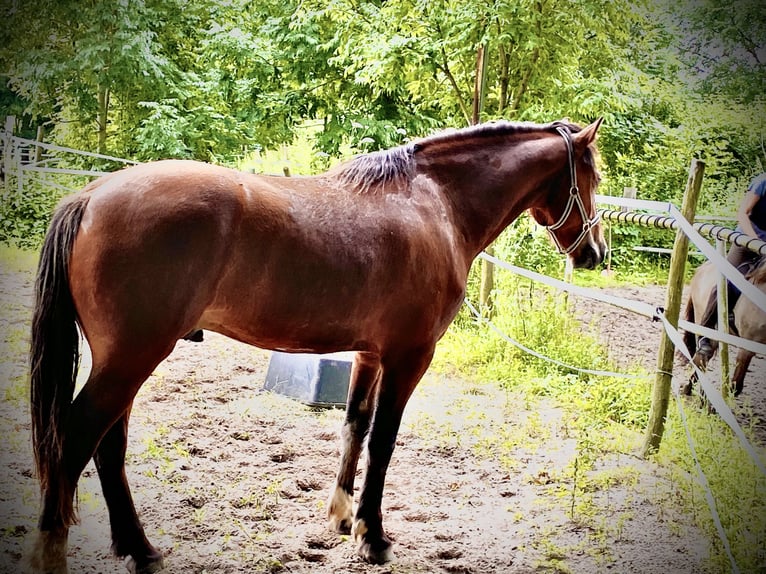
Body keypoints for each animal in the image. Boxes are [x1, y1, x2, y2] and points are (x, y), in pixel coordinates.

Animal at [28, 119, 608, 572]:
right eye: (593, 177)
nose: (596, 254)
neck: (434, 204)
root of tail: (90, 197)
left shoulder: (370, 355)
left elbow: (354, 427)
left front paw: (342, 517)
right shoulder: (410, 356)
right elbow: (383, 441)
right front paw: (373, 537)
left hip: (124, 361)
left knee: (108, 446)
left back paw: (140, 549)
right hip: (132, 358)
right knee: (76, 441)